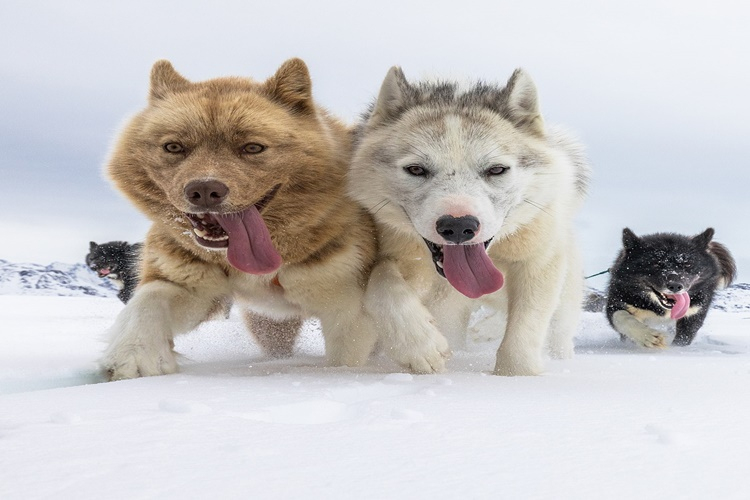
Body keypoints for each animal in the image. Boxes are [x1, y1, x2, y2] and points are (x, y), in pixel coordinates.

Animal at [101, 58, 382, 378]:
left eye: (252, 147)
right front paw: (135, 354)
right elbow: (150, 300)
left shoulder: (347, 310)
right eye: (173, 147)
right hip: (270, 327)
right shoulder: (189, 284)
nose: (204, 190)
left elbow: (345, 360)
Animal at [352, 66, 592, 376]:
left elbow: (524, 332)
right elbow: (381, 282)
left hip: (564, 305)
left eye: (497, 169)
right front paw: (420, 345)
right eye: (416, 169)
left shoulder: (538, 263)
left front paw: (517, 375)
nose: (457, 226)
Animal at [608, 228, 736, 348]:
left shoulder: (694, 313)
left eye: (687, 264)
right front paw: (647, 336)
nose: (675, 285)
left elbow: (683, 338)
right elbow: (622, 317)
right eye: (656, 264)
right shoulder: (617, 301)